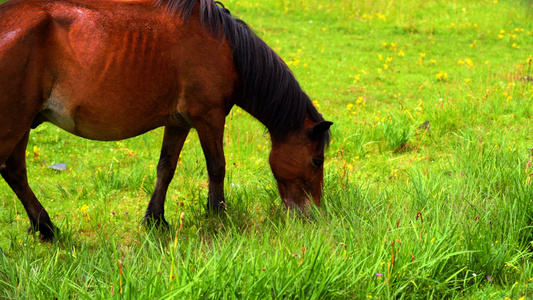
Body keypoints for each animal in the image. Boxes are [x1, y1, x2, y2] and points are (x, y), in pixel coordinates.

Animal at [0, 0, 330, 241]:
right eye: (317, 161)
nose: (313, 215)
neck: (227, 47)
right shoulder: (209, 116)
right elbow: (217, 167)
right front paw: (217, 216)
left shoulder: (179, 122)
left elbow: (166, 168)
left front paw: (155, 219)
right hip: (13, 125)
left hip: (22, 124)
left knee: (15, 172)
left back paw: (45, 228)